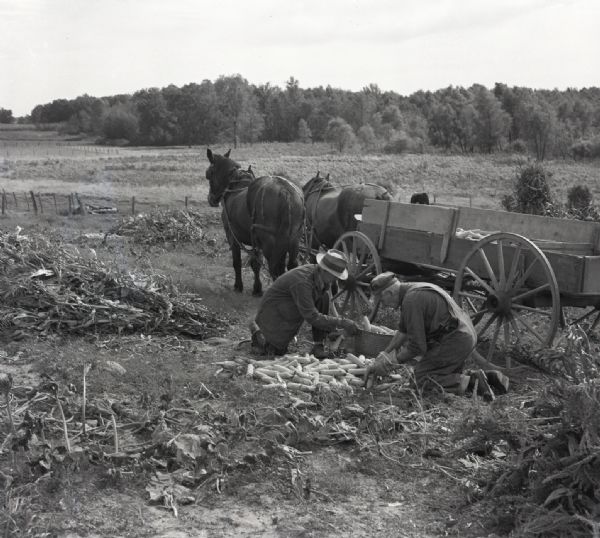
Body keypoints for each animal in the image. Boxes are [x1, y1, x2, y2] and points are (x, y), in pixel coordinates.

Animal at [205, 149, 304, 296]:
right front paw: (257, 288)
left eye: (209, 174)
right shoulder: (256, 241)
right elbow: (256, 264)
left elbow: (237, 262)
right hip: (293, 239)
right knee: (291, 265)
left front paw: (238, 285)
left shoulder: (232, 237)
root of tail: (285, 192)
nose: (211, 199)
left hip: (270, 241)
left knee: (275, 267)